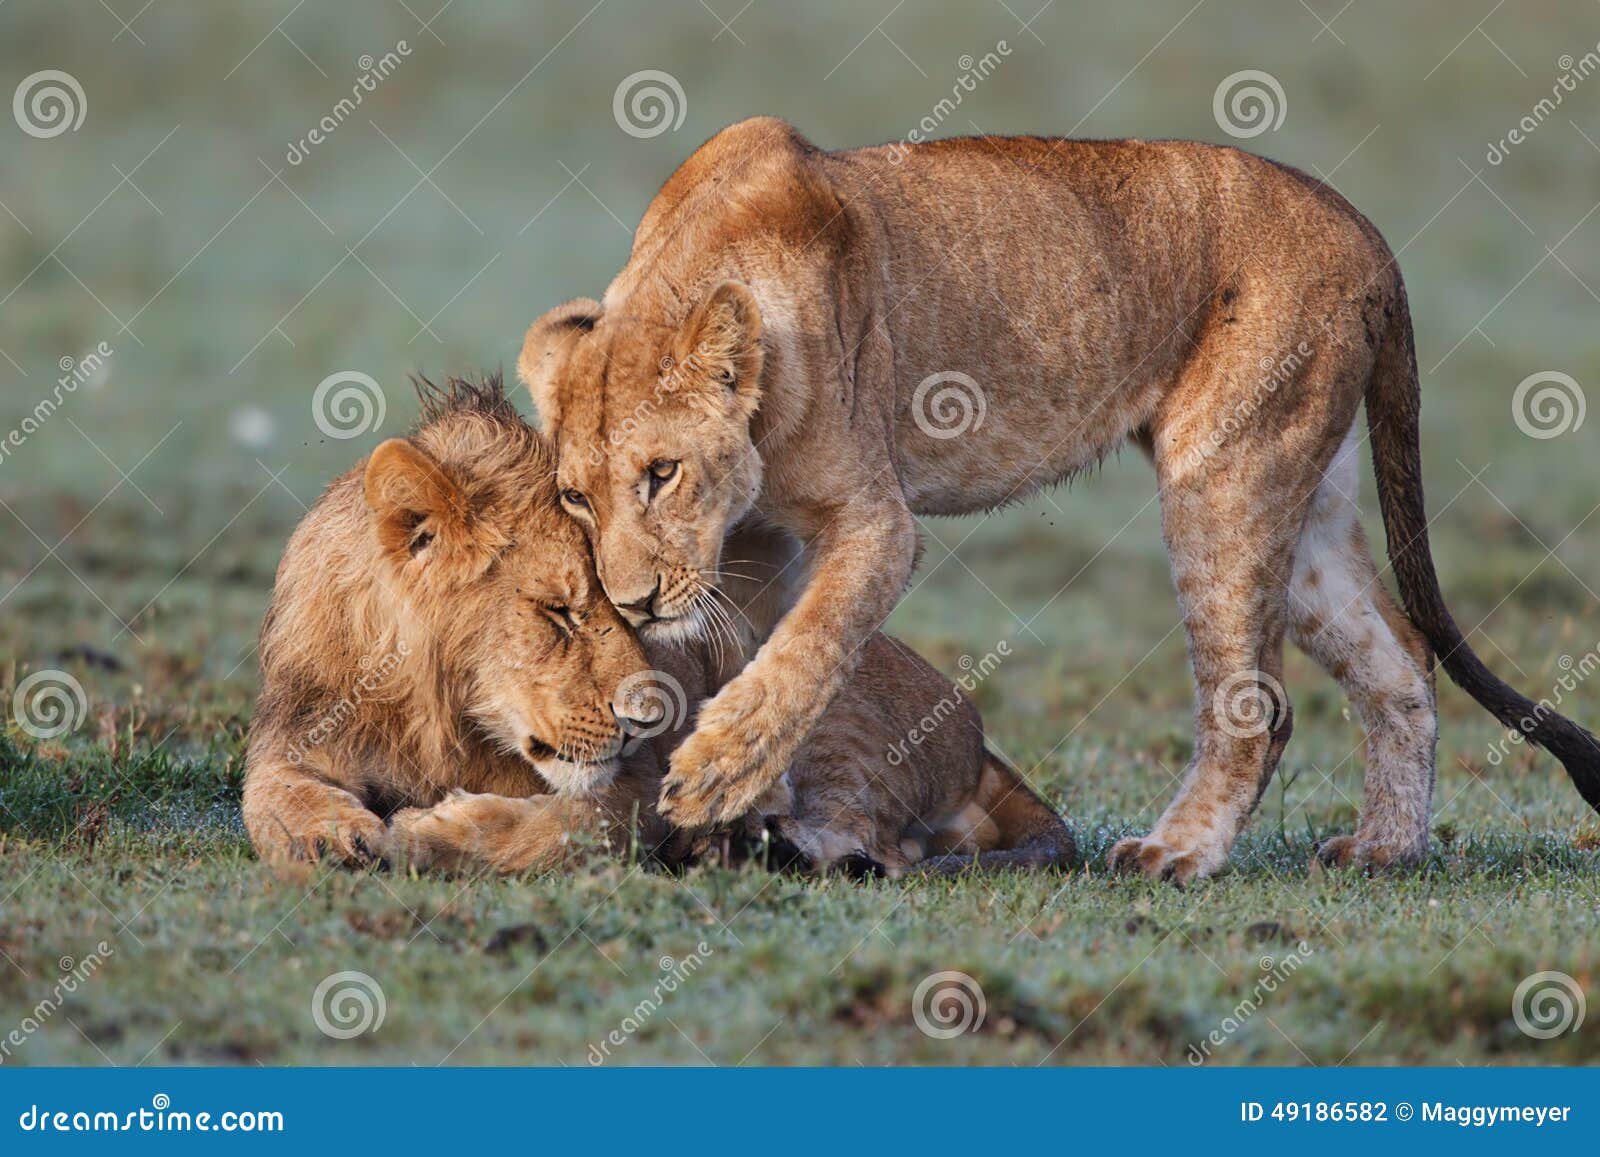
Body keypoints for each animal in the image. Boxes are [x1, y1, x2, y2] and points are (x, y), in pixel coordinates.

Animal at [243, 380, 1068, 876]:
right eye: (559, 612)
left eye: (632, 614)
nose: (644, 718)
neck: (438, 716)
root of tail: (975, 730)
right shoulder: (297, 731)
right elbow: (269, 795)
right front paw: (326, 834)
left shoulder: (643, 782)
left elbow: (570, 824)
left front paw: (428, 832)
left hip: (816, 711)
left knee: (876, 842)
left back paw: (754, 844)